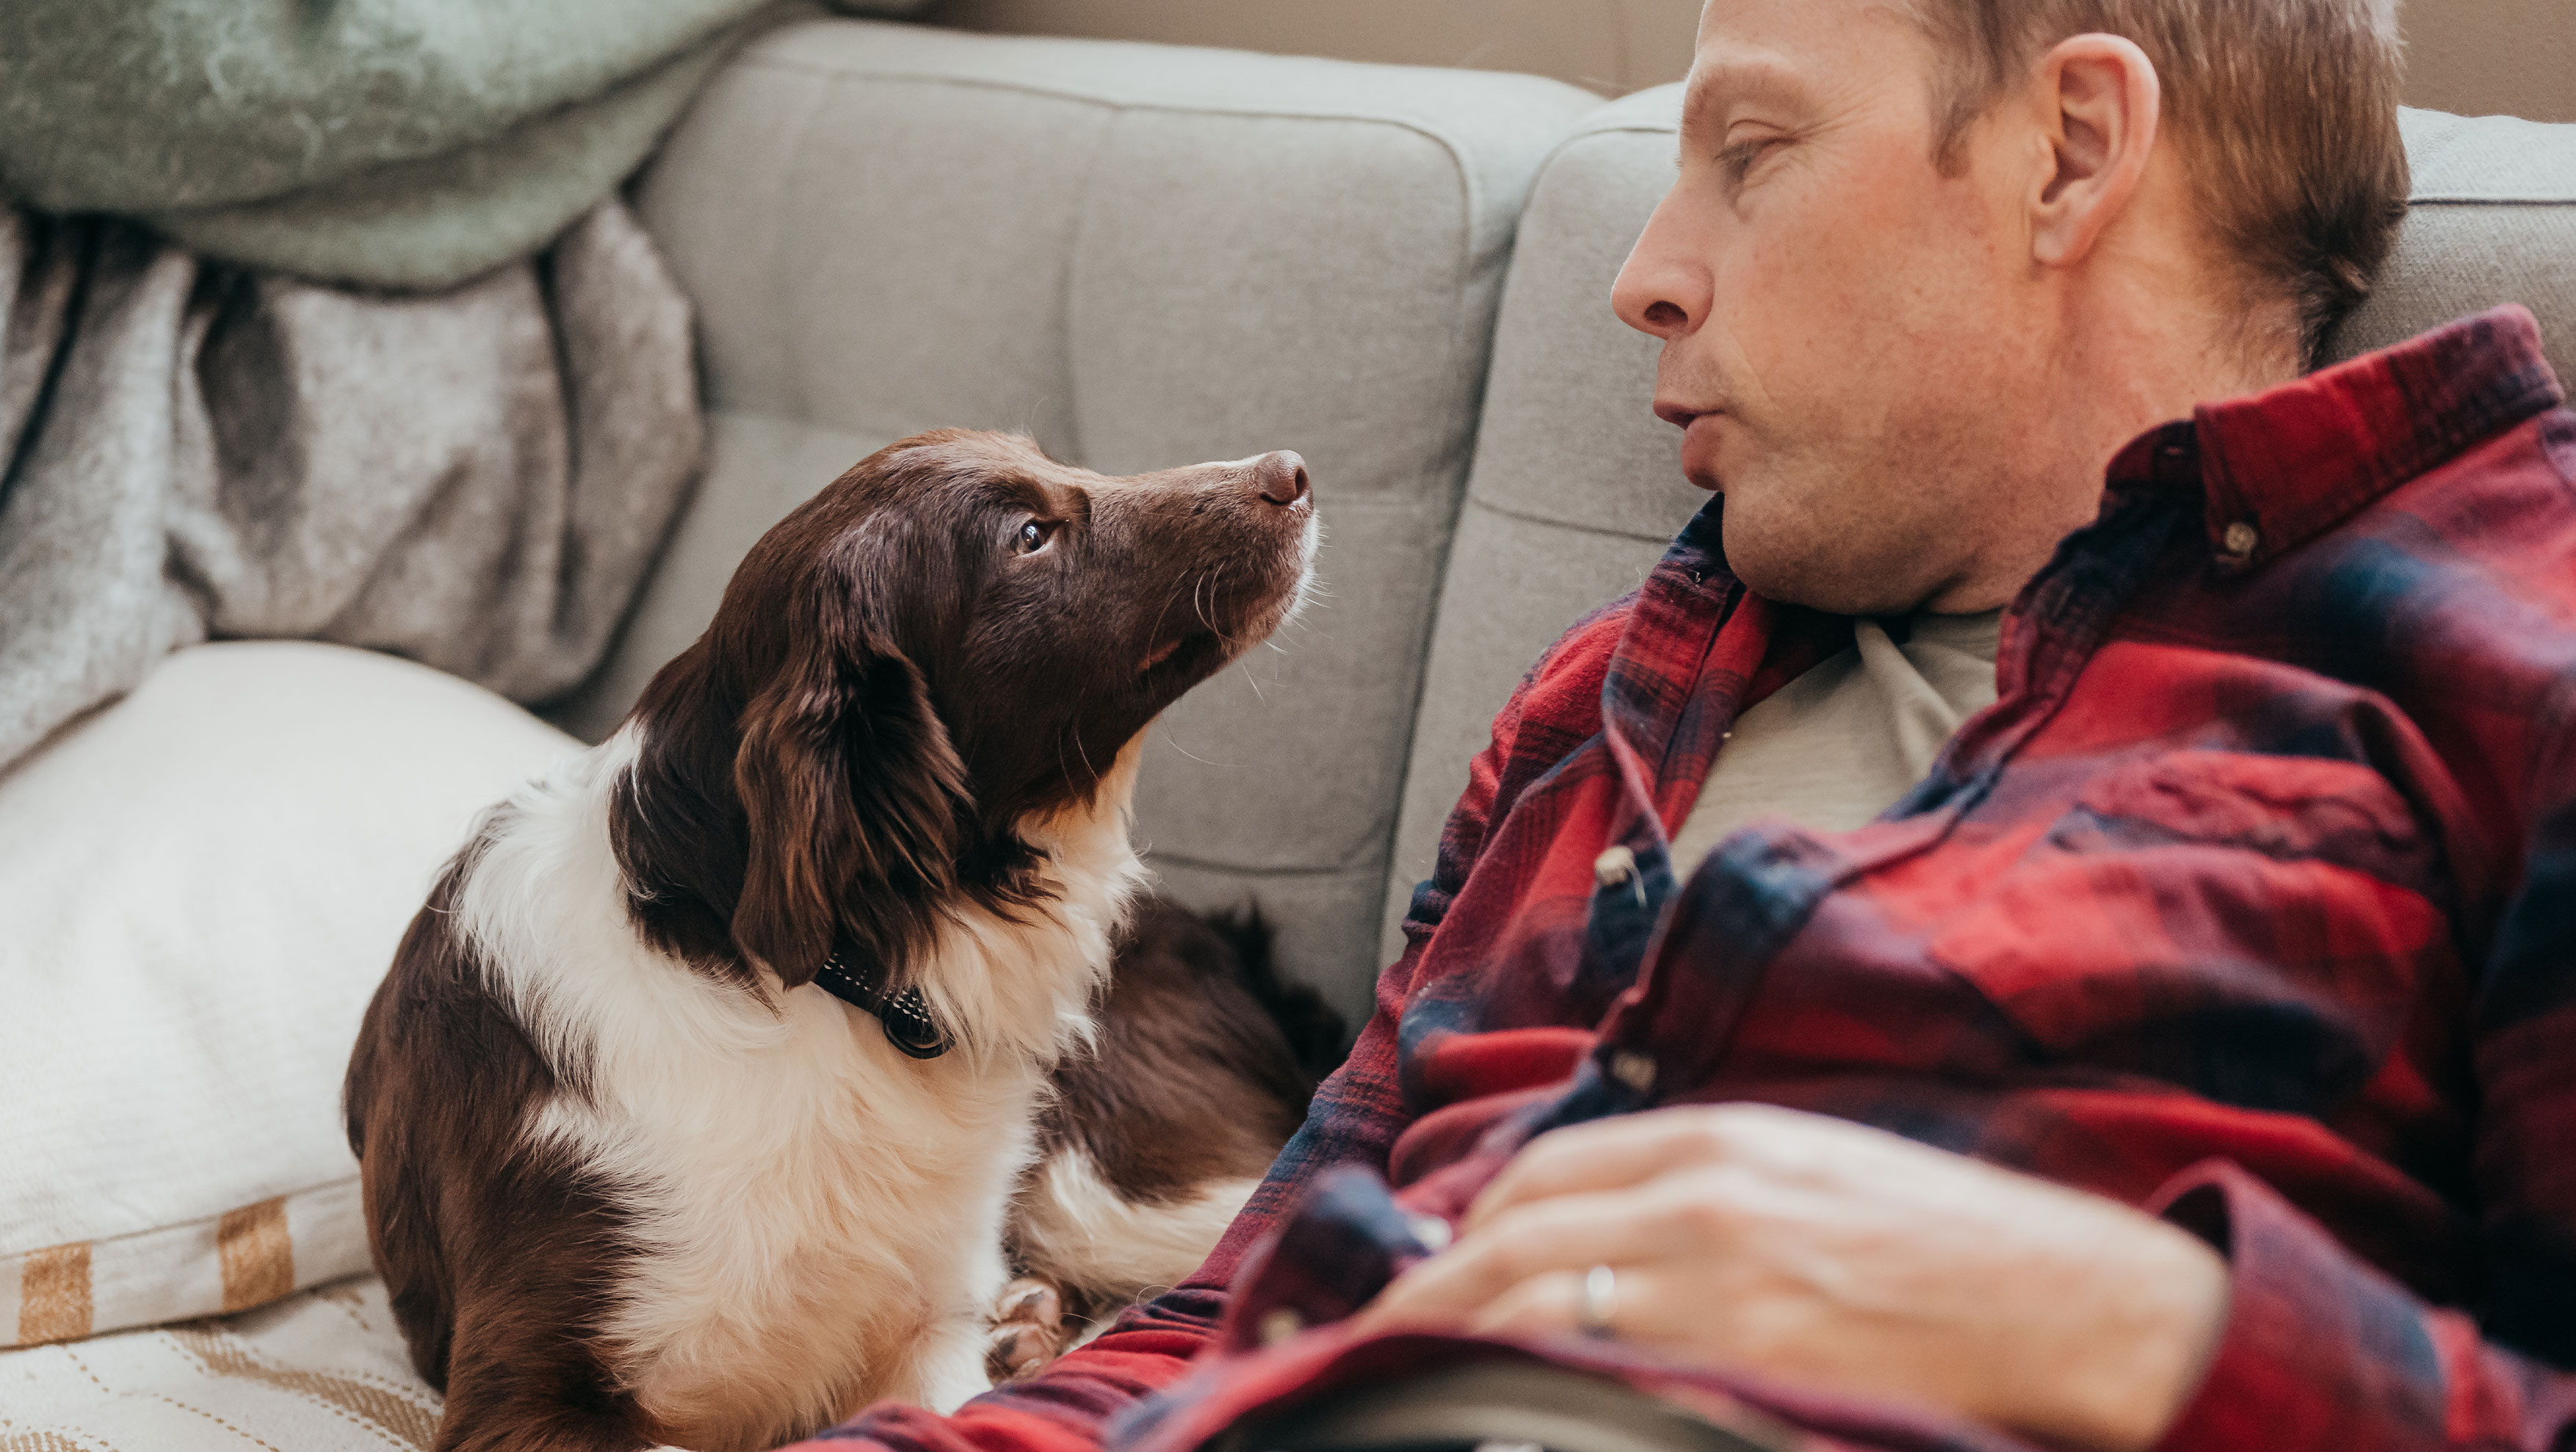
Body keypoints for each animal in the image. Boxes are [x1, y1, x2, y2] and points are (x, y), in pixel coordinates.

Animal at [347, 430, 1329, 1452]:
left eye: (1059, 466)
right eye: (1029, 537)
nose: (1292, 472)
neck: (845, 983)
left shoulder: (932, 1322)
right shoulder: (521, 1391)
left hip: (1099, 1186)